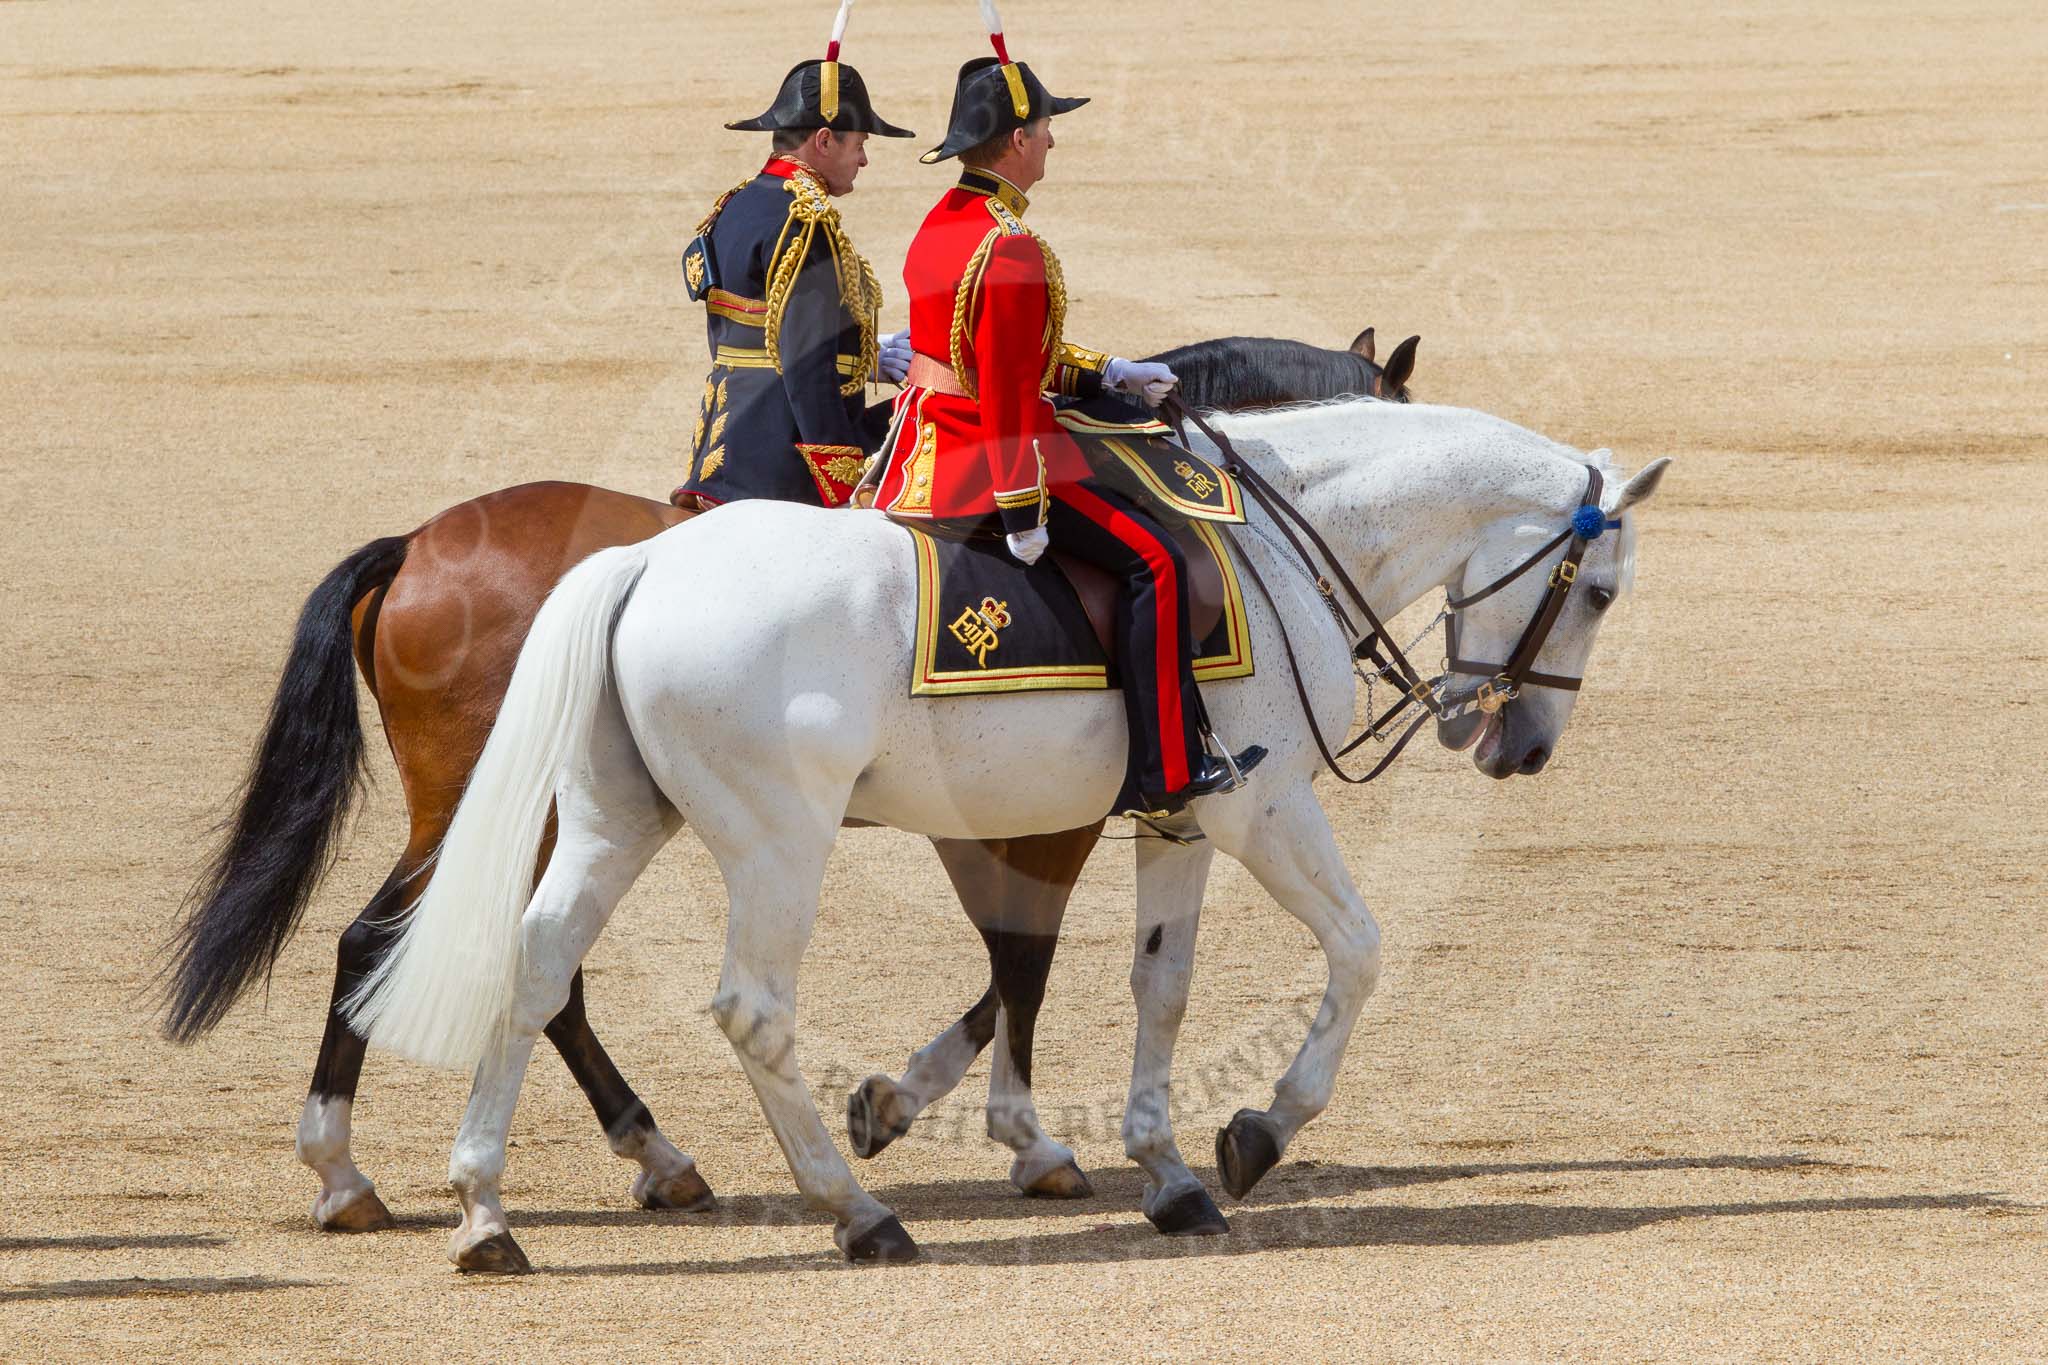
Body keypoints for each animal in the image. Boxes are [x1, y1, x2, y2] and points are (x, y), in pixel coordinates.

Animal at [163, 331, 1409, 1236]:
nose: (1461, 712)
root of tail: (418, 542)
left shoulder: (1046, 817)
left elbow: (1022, 968)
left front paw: (941, 1116)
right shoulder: (1071, 814)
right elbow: (1023, 966)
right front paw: (1000, 1133)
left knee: (528, 970)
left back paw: (618, 1163)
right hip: (492, 813)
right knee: (386, 944)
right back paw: (356, 1174)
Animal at [344, 394, 1671, 1268]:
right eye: (1600, 594)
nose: (1516, 746)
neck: (1277, 538)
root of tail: (642, 565)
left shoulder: (1171, 822)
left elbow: (1150, 985)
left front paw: (1162, 1170)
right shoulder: (1257, 805)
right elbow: (1354, 950)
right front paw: (1254, 1130)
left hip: (611, 821)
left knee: (534, 966)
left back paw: (484, 1210)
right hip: (776, 843)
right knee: (748, 1009)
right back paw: (854, 1212)